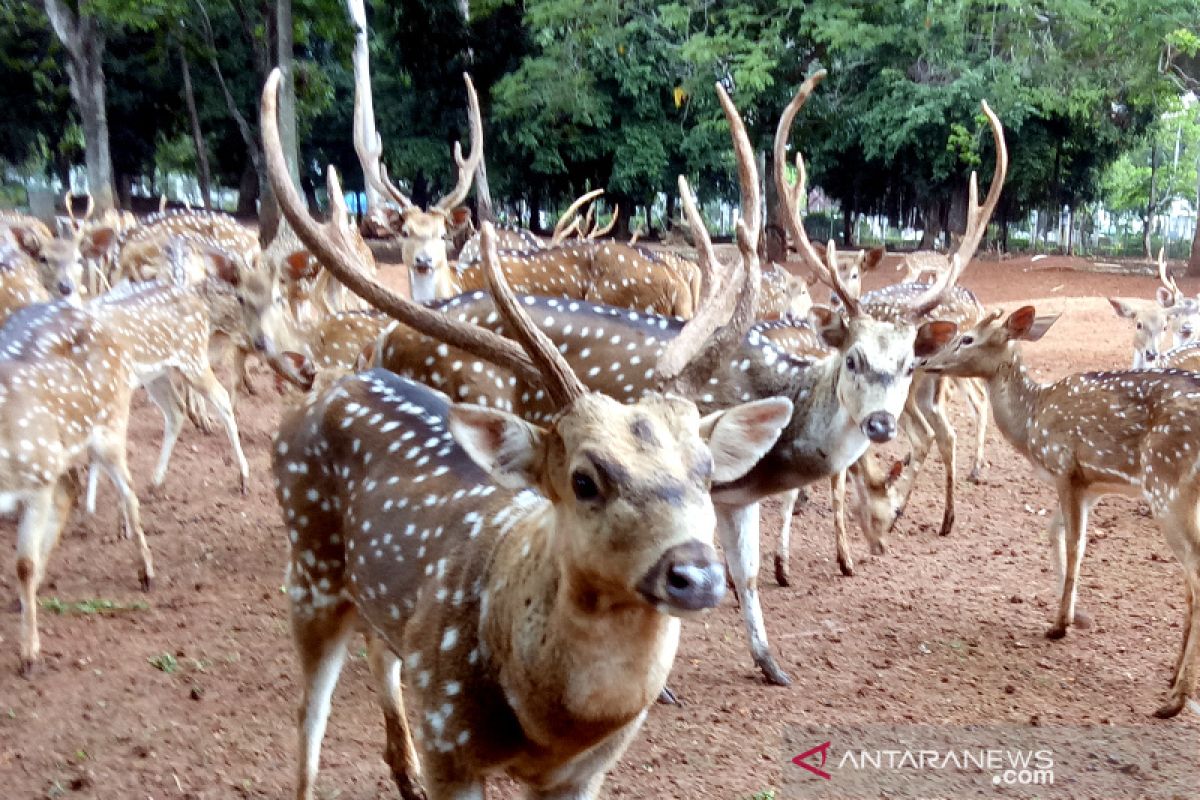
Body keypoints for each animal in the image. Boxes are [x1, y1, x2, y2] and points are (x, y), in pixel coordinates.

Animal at [0, 299, 151, 676]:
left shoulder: (35, 482)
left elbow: (23, 565)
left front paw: (29, 656)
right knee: (71, 486)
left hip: (111, 424)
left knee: (128, 491)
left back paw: (147, 574)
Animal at [264, 68, 796, 800]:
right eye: (584, 479)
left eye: (706, 471)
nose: (695, 573)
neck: (550, 722)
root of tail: (332, 387)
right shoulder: (450, 736)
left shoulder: (587, 769)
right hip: (309, 572)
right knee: (307, 721)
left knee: (380, 650)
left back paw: (402, 772)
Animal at [921, 307, 1200, 719]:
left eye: (967, 338)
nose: (926, 362)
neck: (1031, 423)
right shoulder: (1092, 485)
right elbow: (1057, 534)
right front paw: (1075, 615)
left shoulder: (1065, 467)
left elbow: (1074, 543)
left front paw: (1060, 624)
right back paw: (1173, 676)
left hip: (1168, 486)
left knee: (1194, 574)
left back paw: (1176, 699)